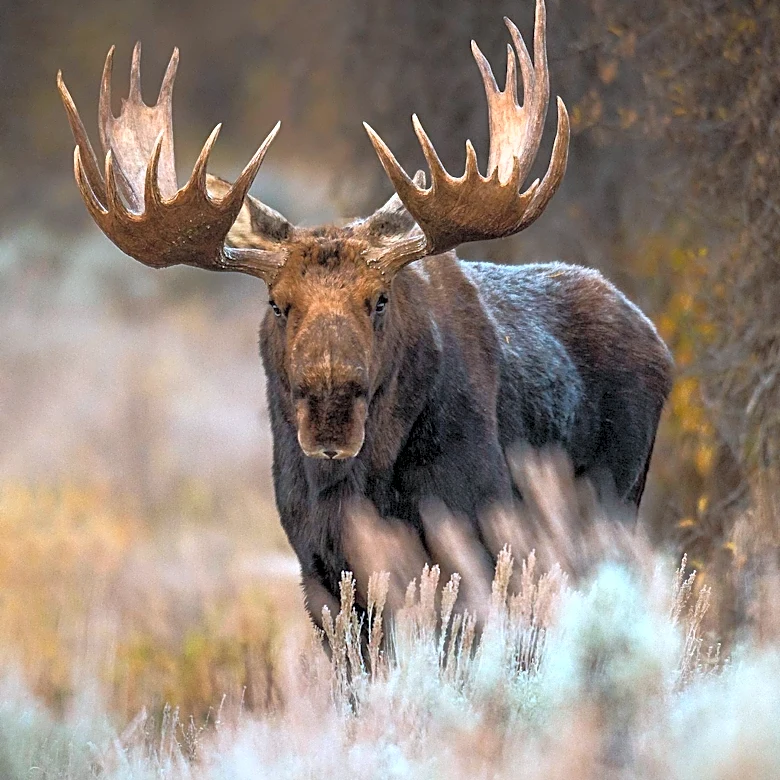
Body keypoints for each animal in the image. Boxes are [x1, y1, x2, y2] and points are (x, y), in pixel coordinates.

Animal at [58, 0, 672, 628]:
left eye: (379, 298)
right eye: (277, 302)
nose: (331, 412)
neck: (357, 486)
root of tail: (656, 340)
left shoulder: (475, 535)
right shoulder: (319, 569)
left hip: (613, 506)